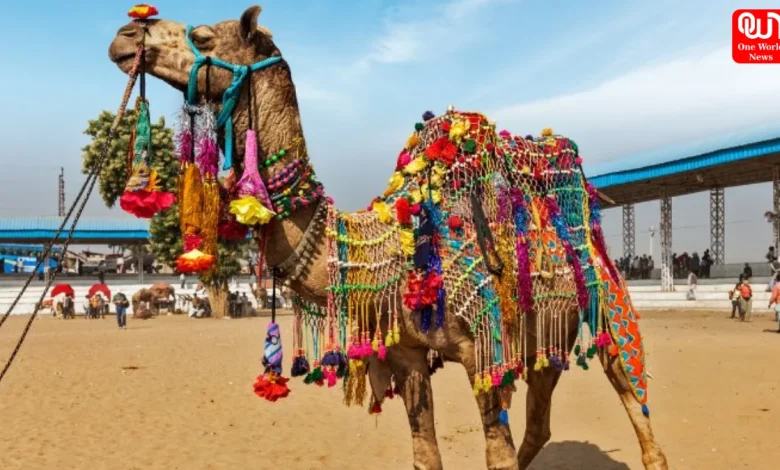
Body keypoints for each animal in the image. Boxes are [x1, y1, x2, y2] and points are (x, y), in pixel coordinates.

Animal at [109, 7, 668, 469]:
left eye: (203, 34)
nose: (126, 34)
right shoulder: (407, 356)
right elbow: (426, 455)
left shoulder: (481, 350)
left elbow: (498, 456)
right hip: (543, 335)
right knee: (540, 422)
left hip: (604, 305)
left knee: (634, 405)